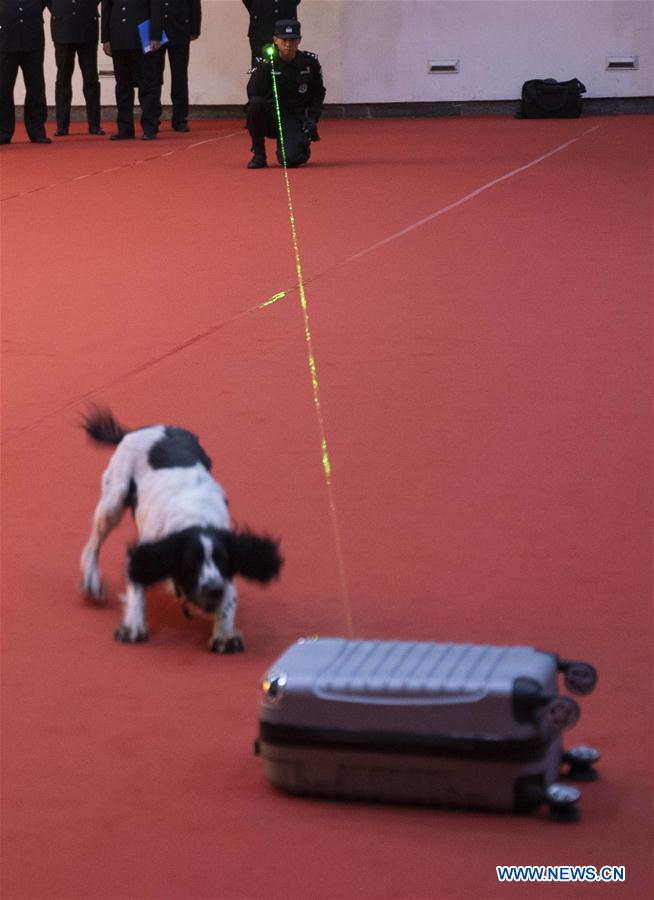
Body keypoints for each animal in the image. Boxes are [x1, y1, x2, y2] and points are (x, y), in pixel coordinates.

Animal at [79, 410, 282, 652]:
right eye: (191, 563)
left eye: (222, 560)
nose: (213, 590)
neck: (195, 518)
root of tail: (139, 429)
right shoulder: (147, 550)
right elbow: (136, 582)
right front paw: (133, 625)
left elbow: (229, 598)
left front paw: (224, 634)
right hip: (114, 501)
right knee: (93, 543)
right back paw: (92, 580)